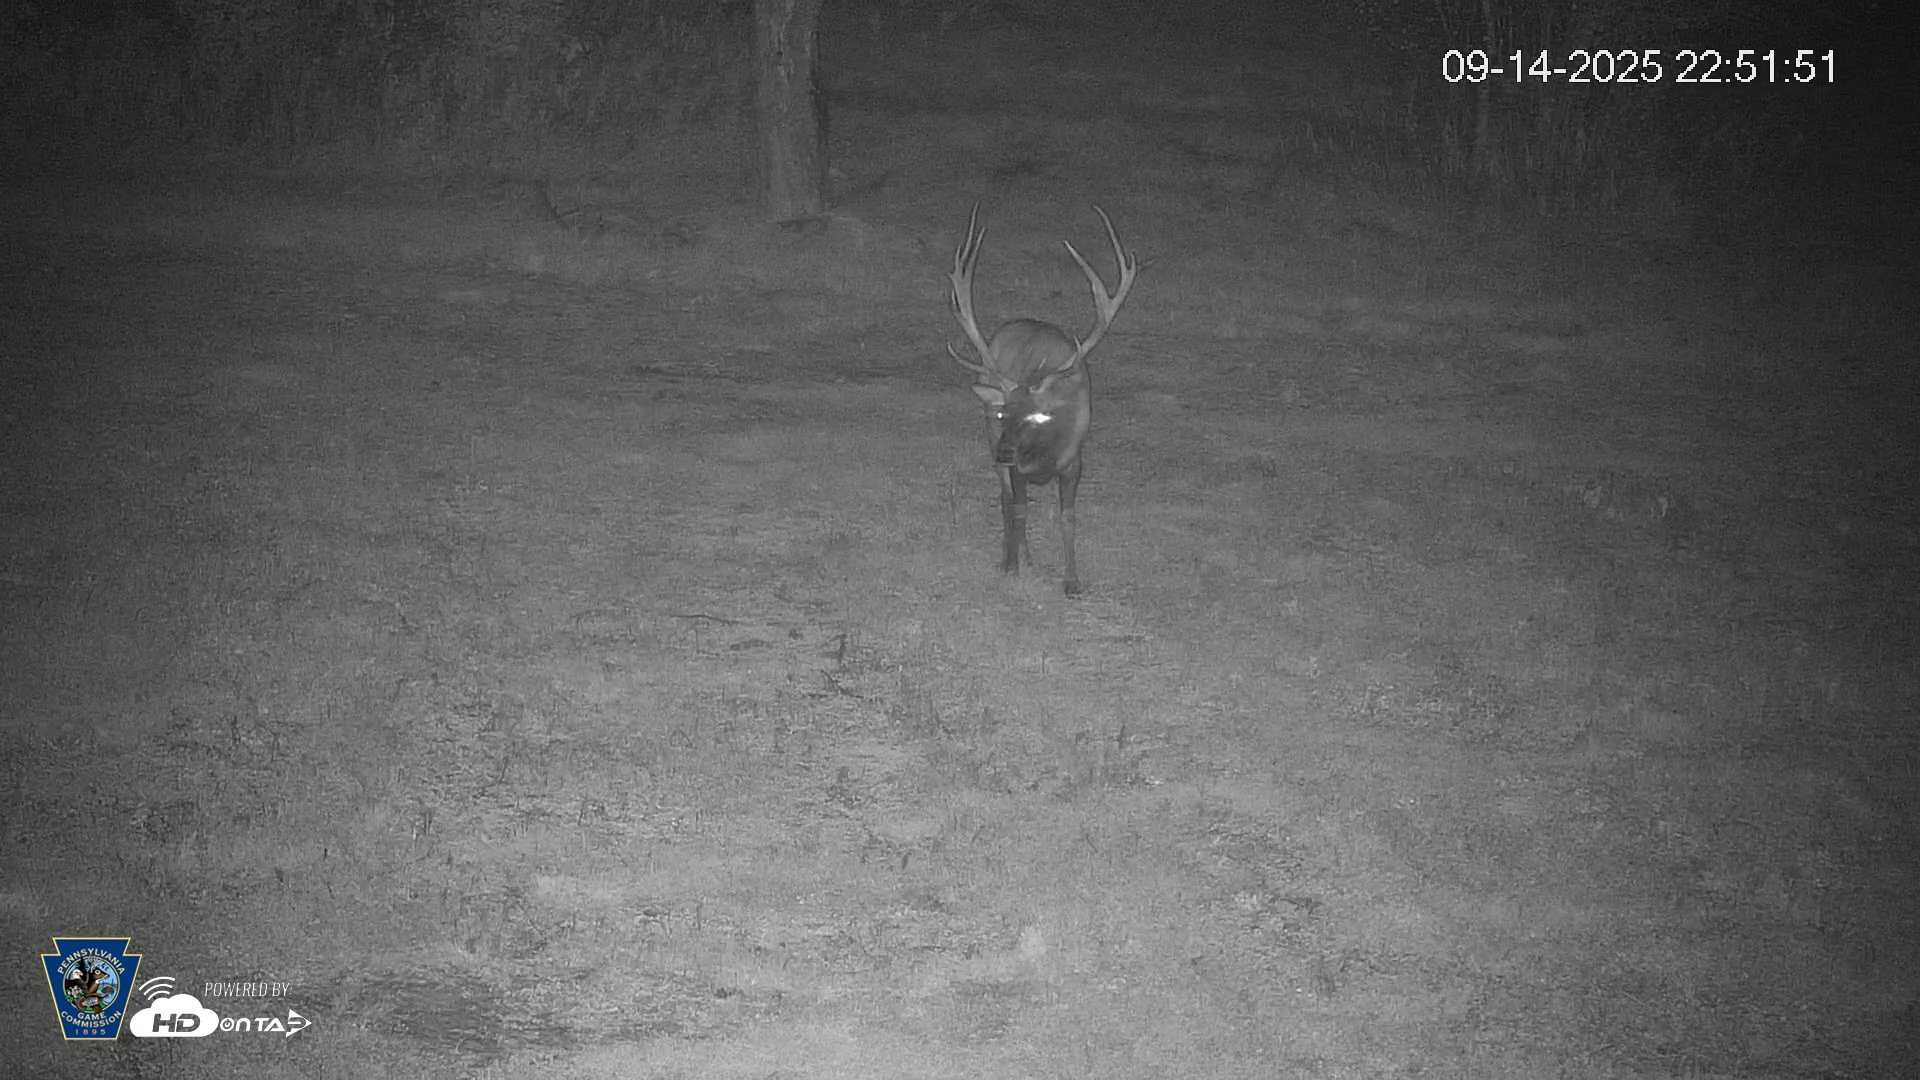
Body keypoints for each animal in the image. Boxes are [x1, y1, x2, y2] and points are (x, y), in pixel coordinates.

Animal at [946, 204, 1138, 597]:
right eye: (1002, 413)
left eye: (1035, 417)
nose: (1005, 451)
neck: (1045, 452)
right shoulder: (1013, 464)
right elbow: (1019, 508)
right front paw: (1012, 567)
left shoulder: (1075, 461)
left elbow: (1068, 518)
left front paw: (1072, 581)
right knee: (1006, 499)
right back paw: (1016, 556)